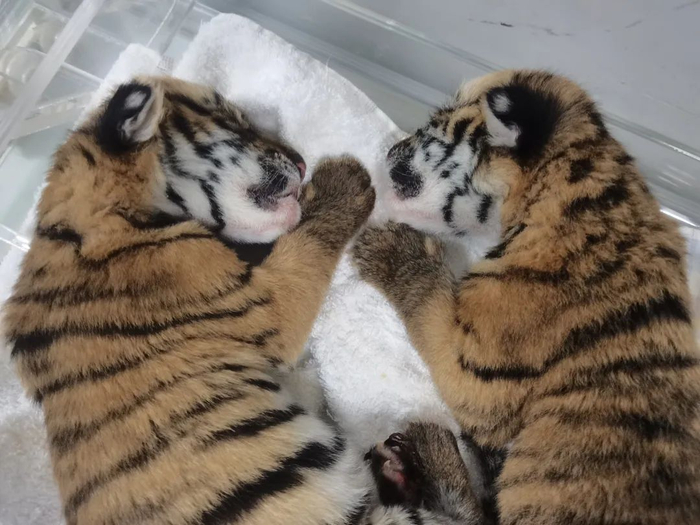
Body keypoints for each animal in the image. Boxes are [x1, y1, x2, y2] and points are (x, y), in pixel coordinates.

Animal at [2, 76, 485, 525]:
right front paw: (343, 176)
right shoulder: (265, 301)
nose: (302, 162)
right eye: (231, 119)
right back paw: (425, 439)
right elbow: (305, 242)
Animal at [353, 69, 700, 525]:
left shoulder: (477, 372)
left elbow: (427, 295)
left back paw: (419, 454)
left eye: (433, 124)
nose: (391, 148)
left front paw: (389, 247)